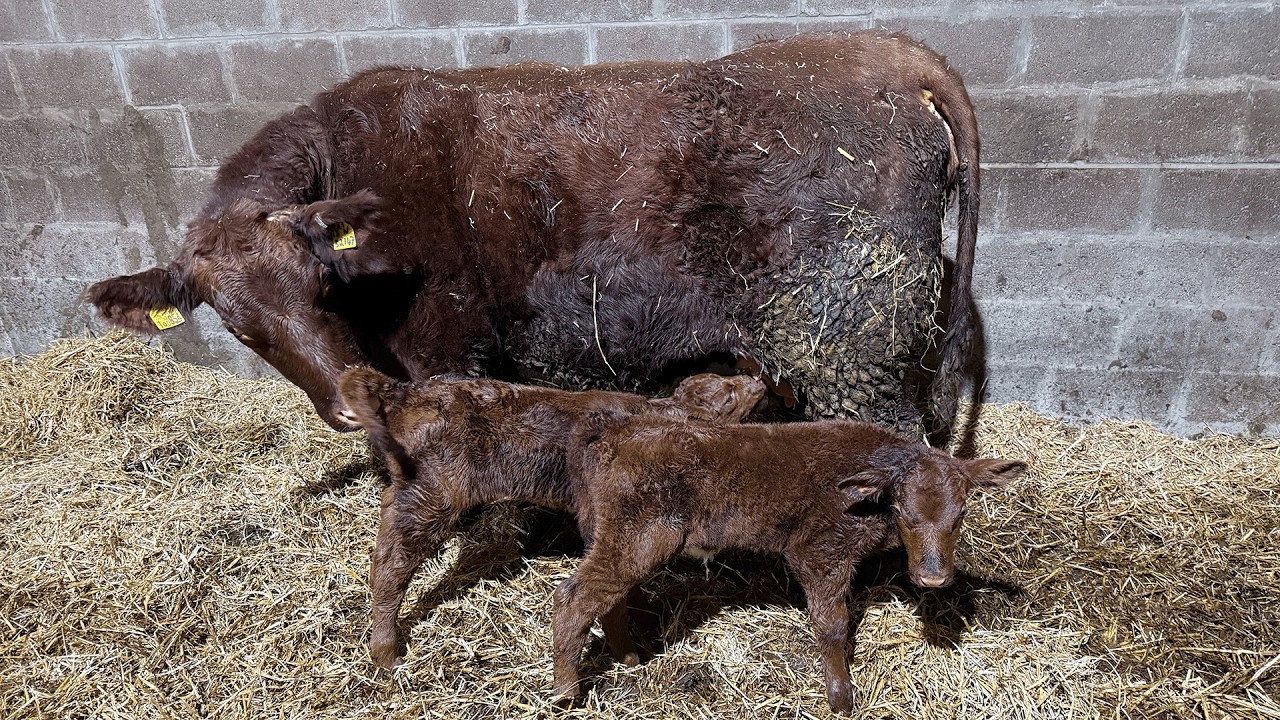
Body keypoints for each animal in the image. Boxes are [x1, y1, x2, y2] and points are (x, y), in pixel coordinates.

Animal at [87, 30, 981, 437]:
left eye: (322, 288)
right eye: (241, 331)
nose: (344, 403)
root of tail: (890, 51)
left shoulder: (443, 353)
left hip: (854, 352)